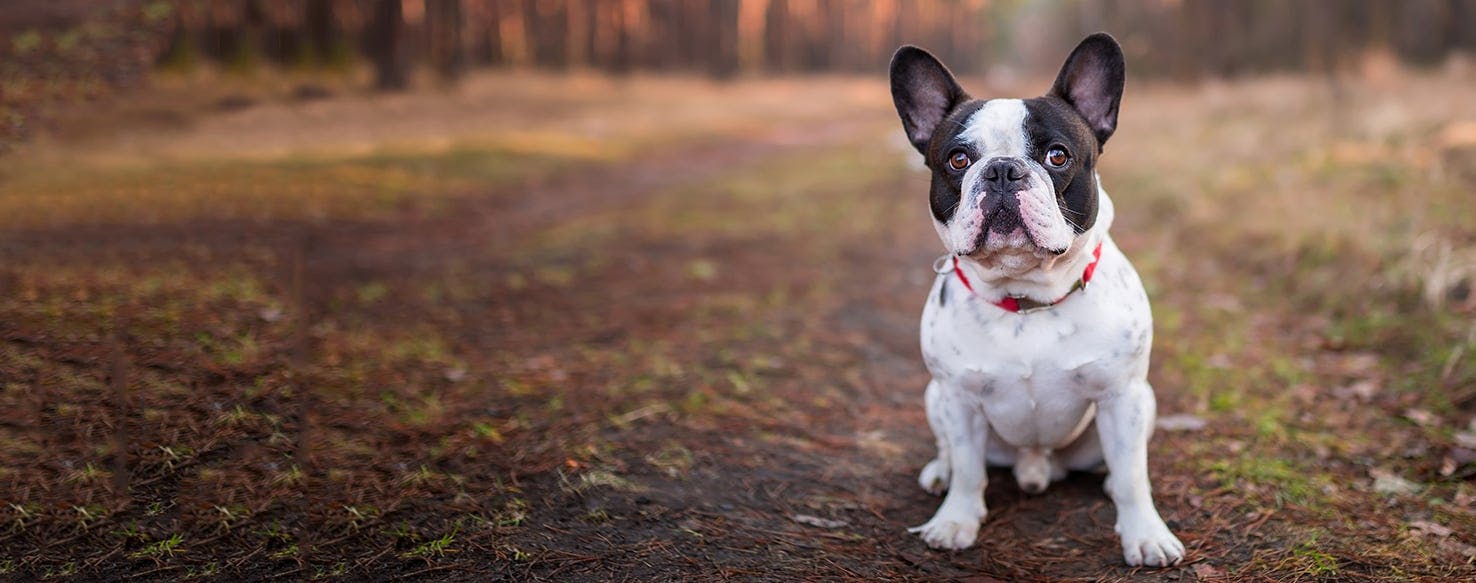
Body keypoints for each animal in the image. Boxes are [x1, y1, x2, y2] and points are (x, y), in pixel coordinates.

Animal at [885, 34, 1186, 569]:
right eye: (958, 160)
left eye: (1058, 156)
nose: (1003, 170)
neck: (1025, 297)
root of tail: (1035, 464)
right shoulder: (959, 402)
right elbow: (969, 470)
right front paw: (955, 521)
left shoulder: (1121, 396)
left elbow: (1133, 476)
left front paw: (1146, 535)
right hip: (935, 397)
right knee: (950, 452)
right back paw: (939, 474)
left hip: (1141, 403)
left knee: (1119, 465)